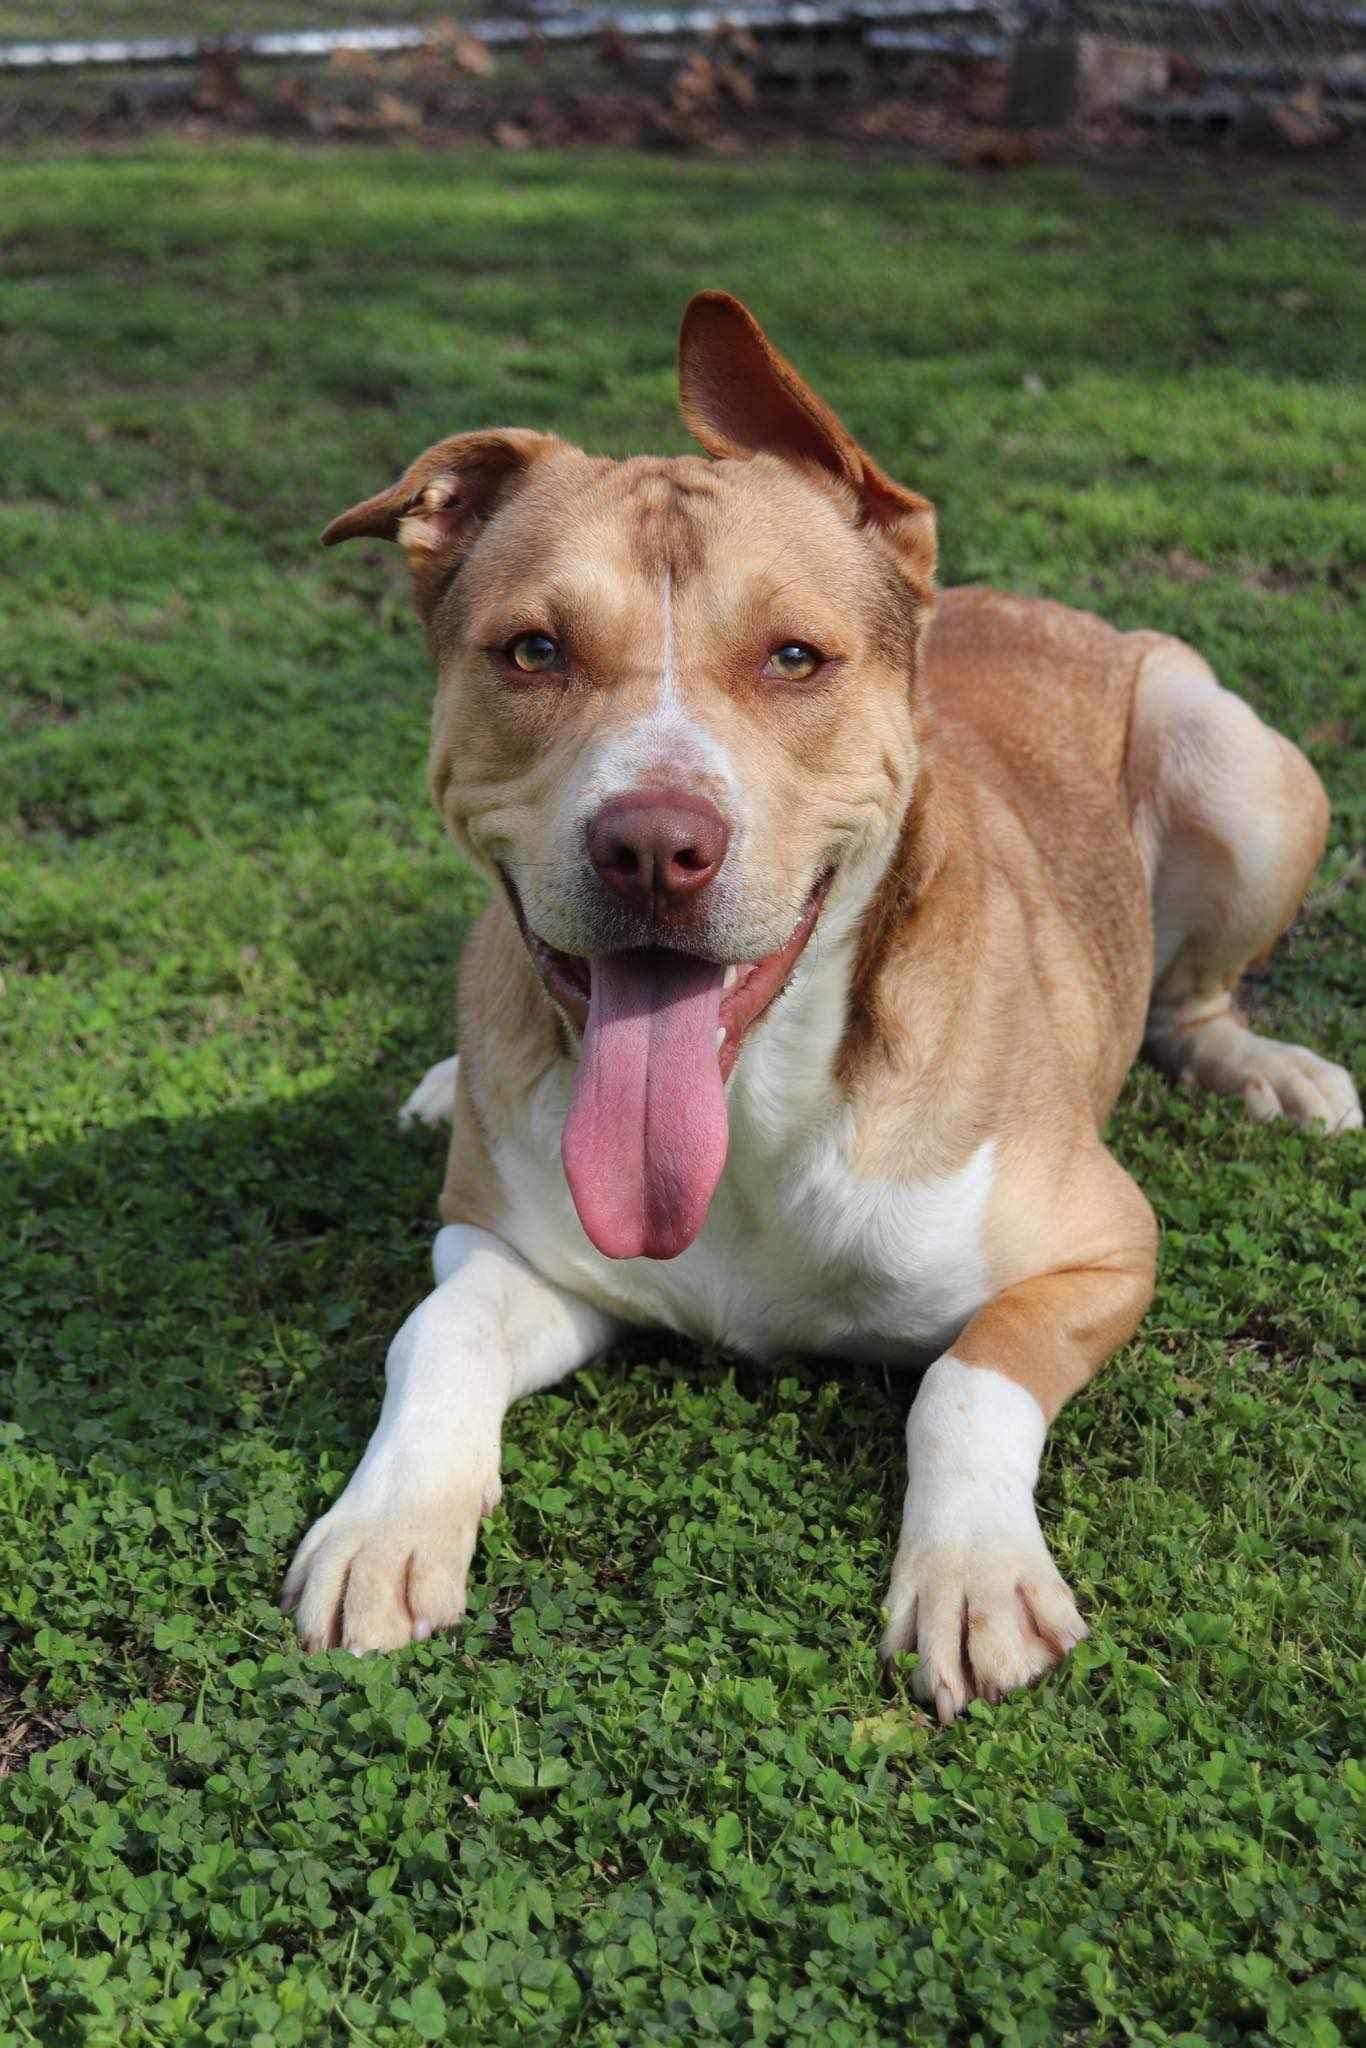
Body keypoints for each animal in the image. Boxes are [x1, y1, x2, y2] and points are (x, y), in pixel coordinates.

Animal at [282, 296, 1359, 1720]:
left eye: (793, 656)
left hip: (1234, 757)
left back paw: (1271, 1067)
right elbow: (438, 1327)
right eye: (533, 649)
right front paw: (388, 1520)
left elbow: (964, 1379)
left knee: (1194, 996)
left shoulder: (1103, 1249)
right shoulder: (517, 1251)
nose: (653, 847)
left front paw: (973, 1571)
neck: (750, 1102)